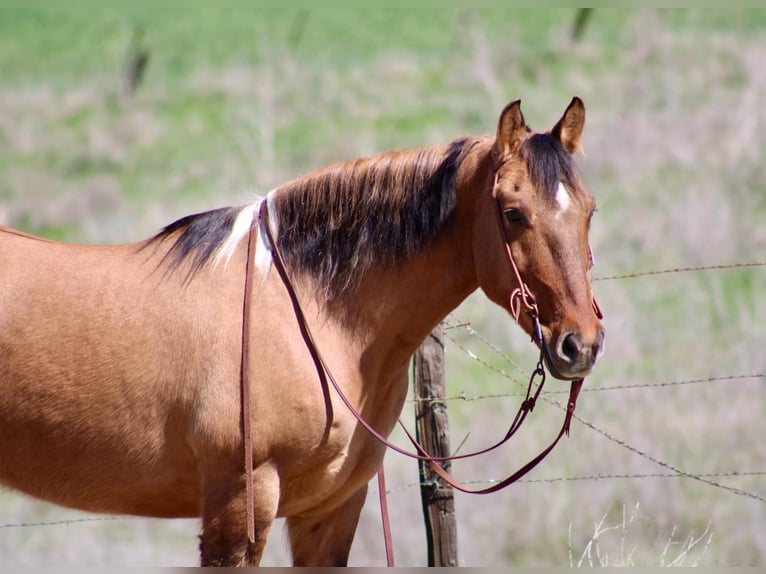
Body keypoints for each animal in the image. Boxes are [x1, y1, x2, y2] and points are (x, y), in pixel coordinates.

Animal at [0, 98, 608, 568]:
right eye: (512, 213)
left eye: (589, 210)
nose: (580, 344)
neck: (315, 316)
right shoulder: (238, 508)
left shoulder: (331, 511)